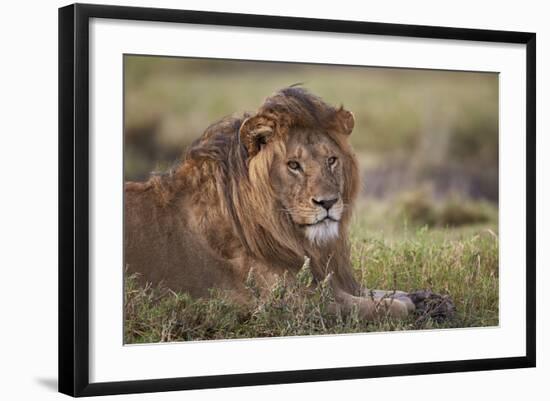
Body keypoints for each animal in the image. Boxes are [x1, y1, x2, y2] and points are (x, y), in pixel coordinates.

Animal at [125, 86, 444, 318]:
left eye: (331, 160)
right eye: (293, 165)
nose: (328, 202)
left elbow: (384, 293)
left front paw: (426, 298)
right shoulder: (288, 301)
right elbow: (385, 307)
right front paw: (408, 305)